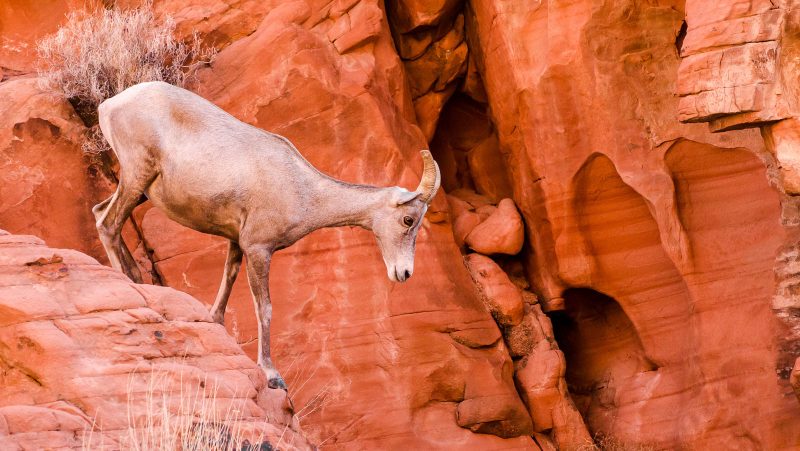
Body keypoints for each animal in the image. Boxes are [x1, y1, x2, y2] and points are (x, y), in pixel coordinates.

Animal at [96, 82, 444, 392]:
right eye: (408, 219)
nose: (404, 273)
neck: (303, 191)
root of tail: (110, 104)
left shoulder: (237, 242)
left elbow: (227, 280)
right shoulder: (259, 249)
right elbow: (264, 308)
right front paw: (272, 375)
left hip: (140, 188)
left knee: (100, 212)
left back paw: (136, 278)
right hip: (137, 175)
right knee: (108, 223)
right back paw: (126, 280)